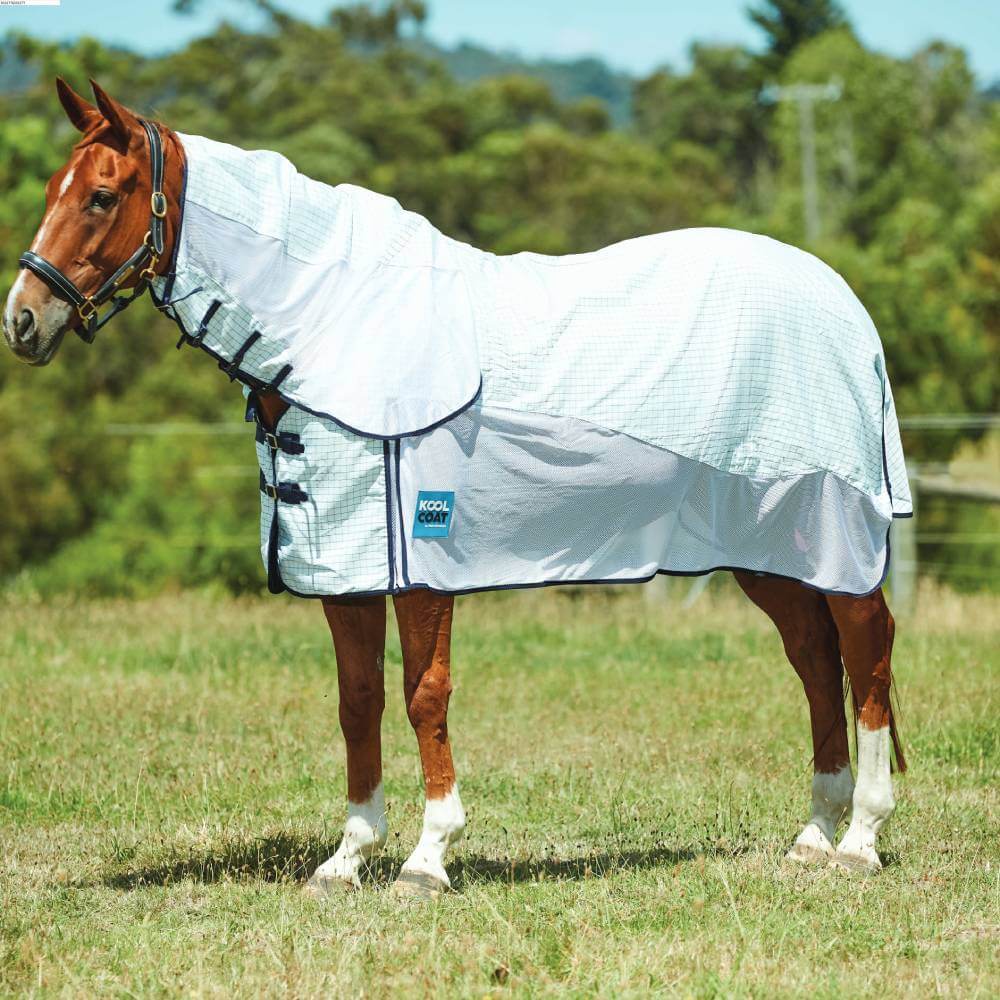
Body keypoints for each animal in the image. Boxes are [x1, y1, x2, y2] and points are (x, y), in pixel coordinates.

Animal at [2, 80, 907, 898]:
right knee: (814, 659)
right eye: (51, 192)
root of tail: (846, 310)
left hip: (832, 533)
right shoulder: (348, 567)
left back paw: (859, 839)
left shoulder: (421, 561)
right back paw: (812, 837)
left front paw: (427, 857)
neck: (333, 329)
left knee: (866, 653)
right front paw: (347, 858)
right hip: (768, 549)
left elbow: (422, 697)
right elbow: (359, 700)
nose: (22, 319)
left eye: (101, 196)